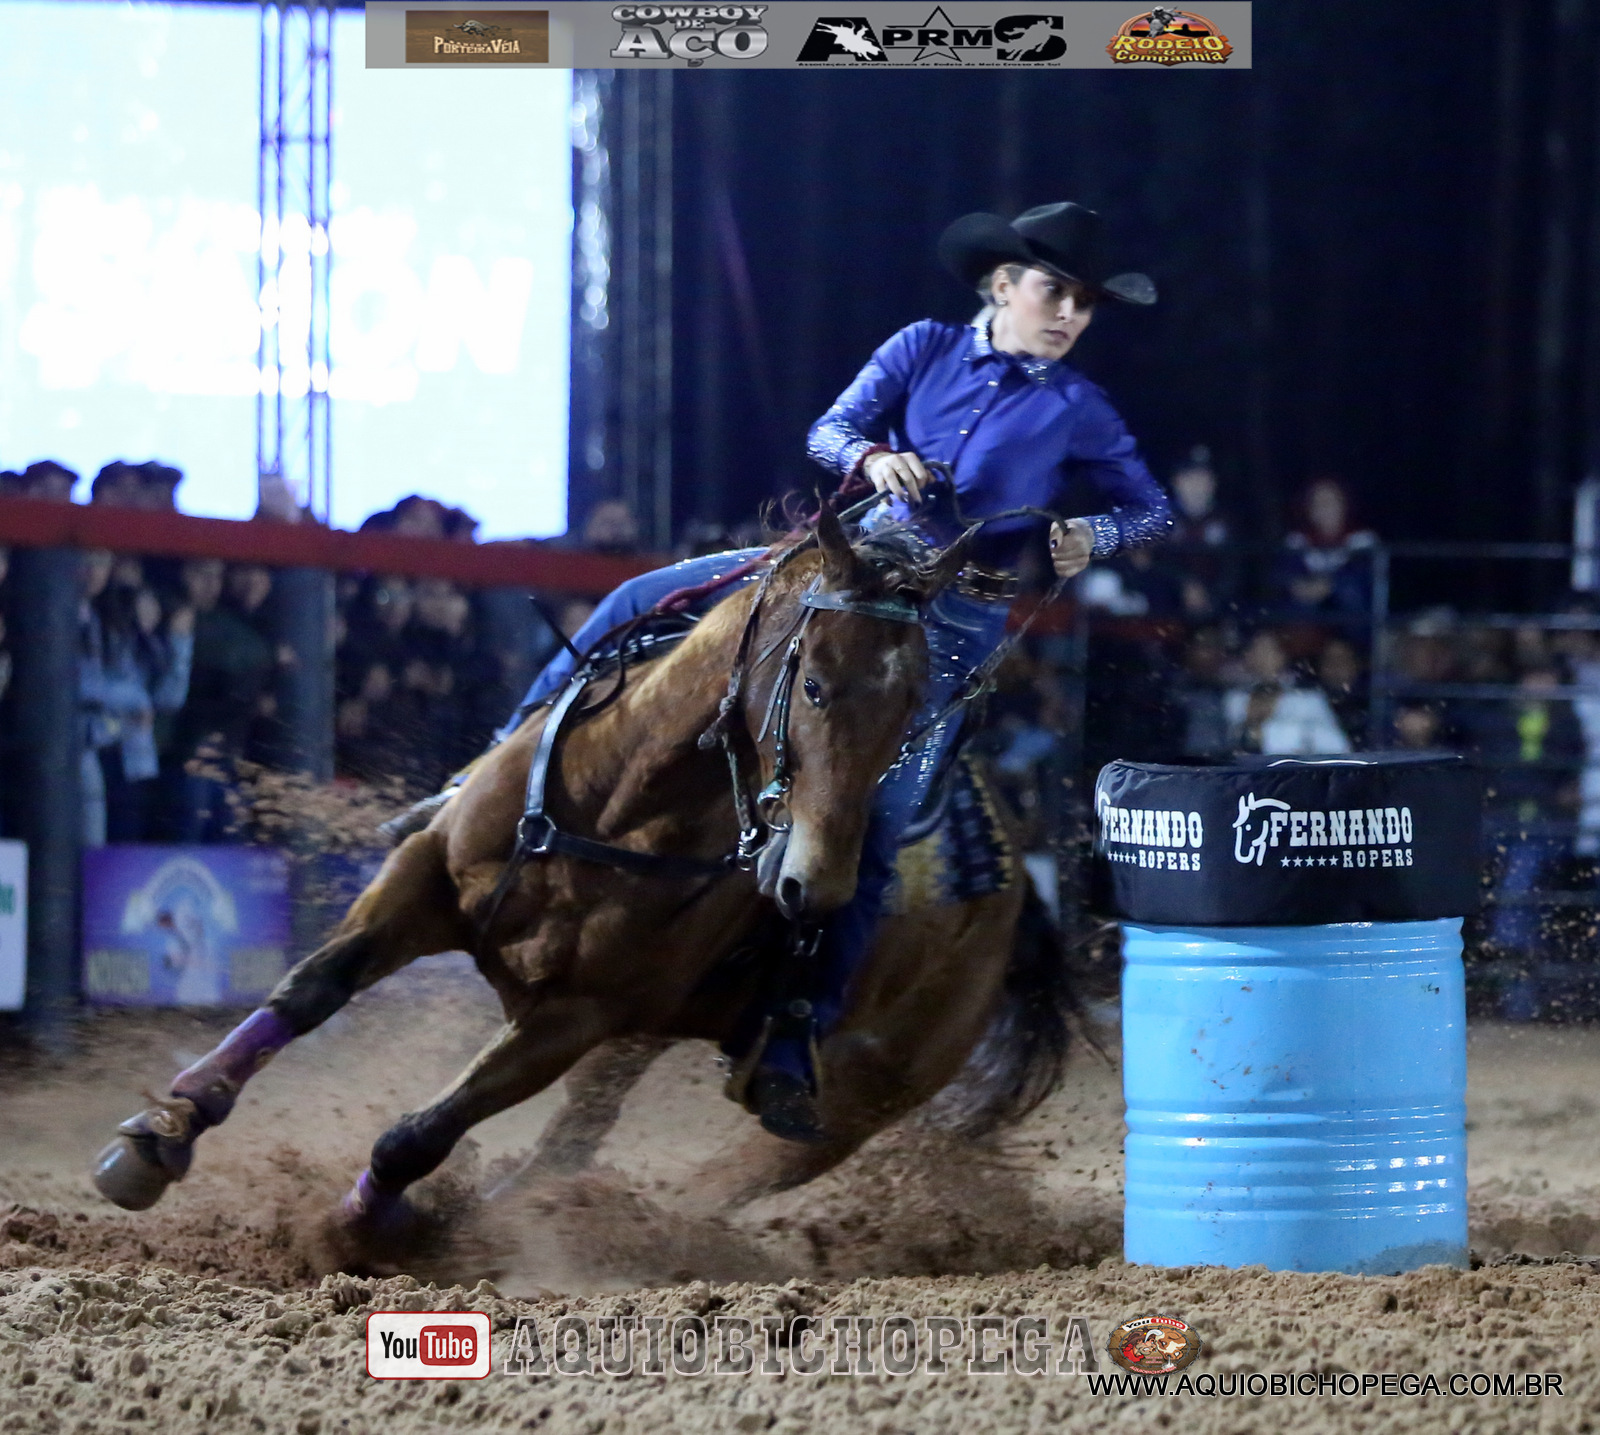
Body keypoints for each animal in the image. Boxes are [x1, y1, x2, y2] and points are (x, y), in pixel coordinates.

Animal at [90, 507, 1074, 1241]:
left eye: (914, 708)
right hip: (649, 1038)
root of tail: (1021, 907)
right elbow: (308, 990)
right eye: (816, 684)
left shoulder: (579, 1015)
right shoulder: (424, 878)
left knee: (716, 1170)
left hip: (857, 1098)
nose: (817, 888)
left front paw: (353, 1232)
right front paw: (162, 1134)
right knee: (574, 1138)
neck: (618, 805)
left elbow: (420, 1133)